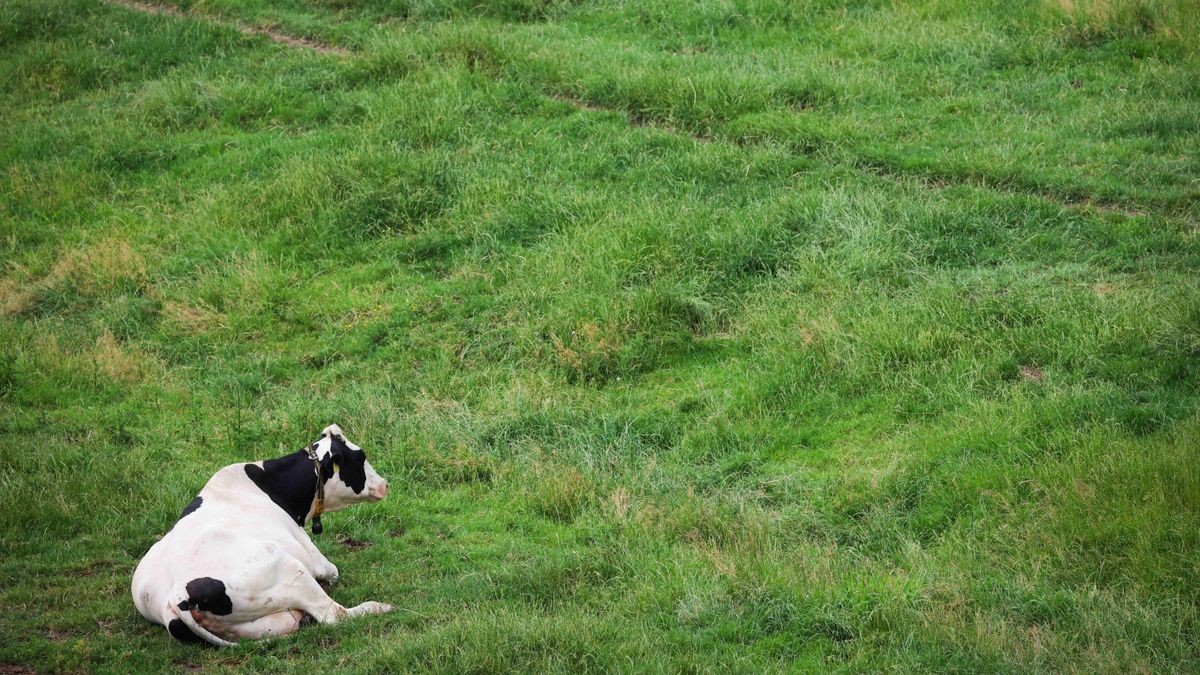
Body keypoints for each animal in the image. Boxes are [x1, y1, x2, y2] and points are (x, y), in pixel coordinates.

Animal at [131, 422, 393, 643]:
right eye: (361, 457)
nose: (385, 484)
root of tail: (176, 596)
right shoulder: (313, 557)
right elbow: (333, 571)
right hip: (289, 569)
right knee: (333, 614)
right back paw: (378, 607)